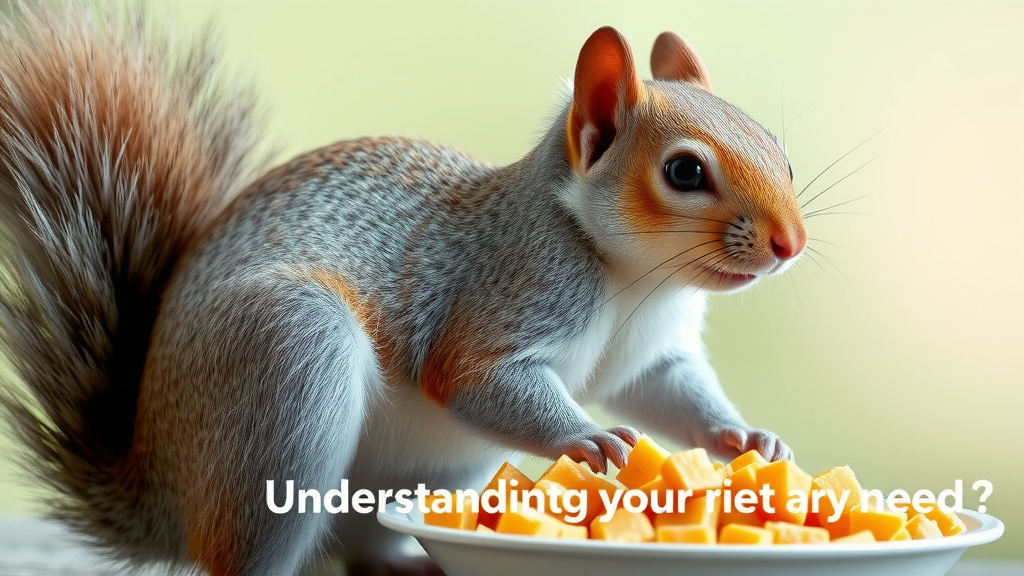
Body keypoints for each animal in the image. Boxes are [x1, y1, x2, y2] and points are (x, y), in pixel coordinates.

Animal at [0, 2, 806, 575]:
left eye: (781, 152)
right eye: (684, 172)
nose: (789, 245)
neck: (635, 280)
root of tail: (159, 486)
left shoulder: (650, 355)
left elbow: (668, 392)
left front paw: (743, 437)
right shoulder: (507, 290)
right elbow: (473, 378)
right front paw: (589, 438)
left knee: (363, 547)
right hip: (288, 366)